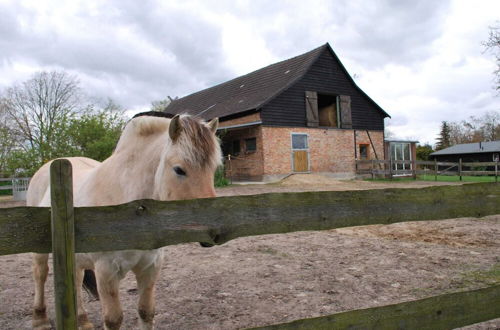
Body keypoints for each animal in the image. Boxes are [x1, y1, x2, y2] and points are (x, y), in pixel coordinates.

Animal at [26, 112, 221, 328]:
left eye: (213, 169)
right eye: (179, 169)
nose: (213, 231)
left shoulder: (150, 268)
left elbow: (146, 312)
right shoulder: (106, 272)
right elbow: (113, 319)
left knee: (75, 279)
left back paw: (83, 321)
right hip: (41, 252)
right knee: (40, 274)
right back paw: (39, 319)